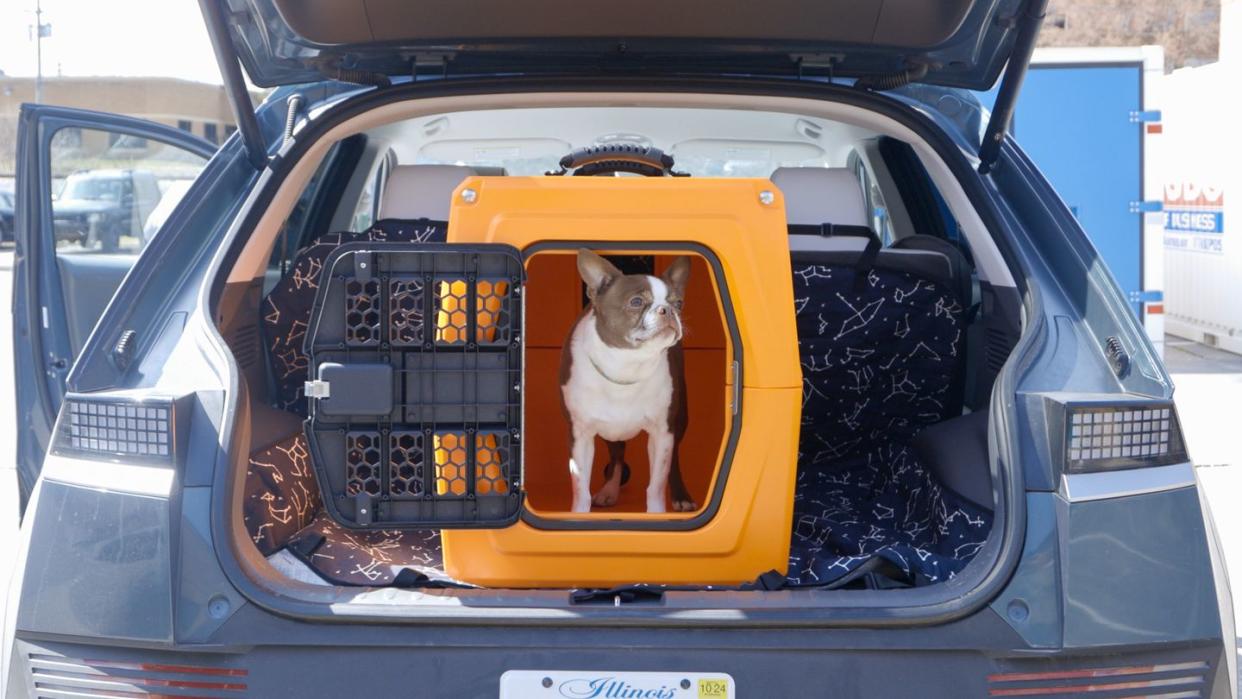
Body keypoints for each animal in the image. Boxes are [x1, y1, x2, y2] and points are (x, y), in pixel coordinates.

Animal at [558, 252, 695, 514]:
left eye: (679, 303)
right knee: (617, 454)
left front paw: (656, 514)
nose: (668, 310)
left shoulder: (662, 432)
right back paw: (610, 491)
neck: (627, 364)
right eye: (636, 301)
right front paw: (579, 514)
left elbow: (656, 485)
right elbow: (581, 488)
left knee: (673, 459)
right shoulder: (580, 435)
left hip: (680, 417)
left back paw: (681, 496)